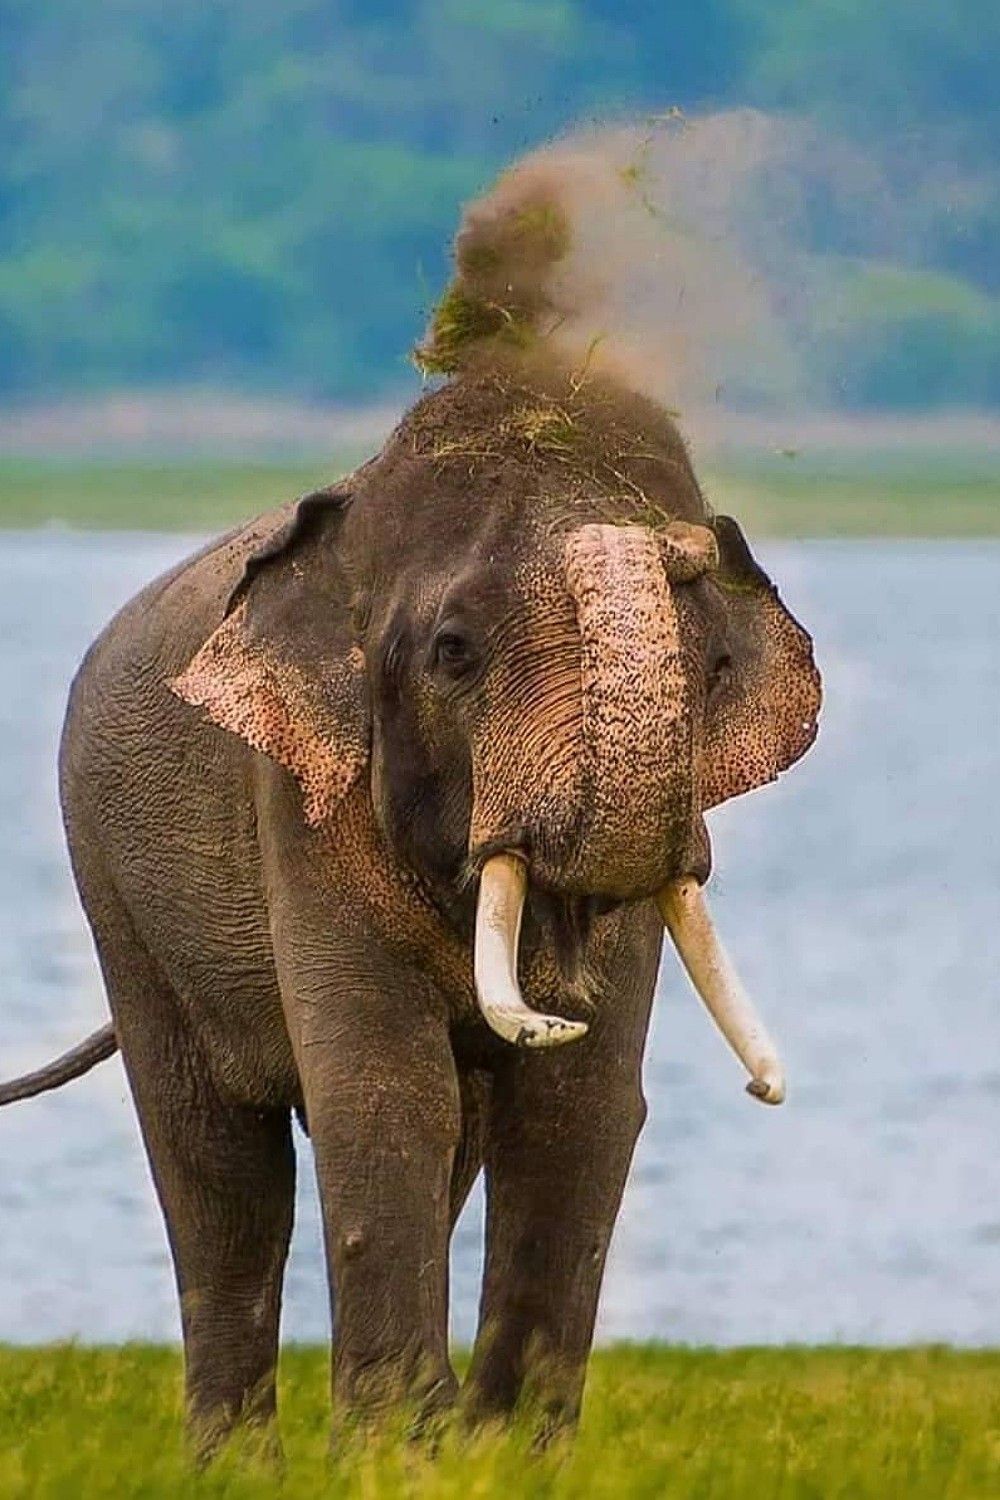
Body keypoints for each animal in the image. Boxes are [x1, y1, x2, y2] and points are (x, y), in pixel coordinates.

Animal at [0, 175, 821, 1458]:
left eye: (715, 661)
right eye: (452, 652)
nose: (694, 545)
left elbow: (581, 1103)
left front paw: (502, 1457)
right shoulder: (301, 801)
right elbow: (385, 1092)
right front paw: (393, 1454)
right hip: (112, 884)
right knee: (215, 1164)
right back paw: (235, 1464)